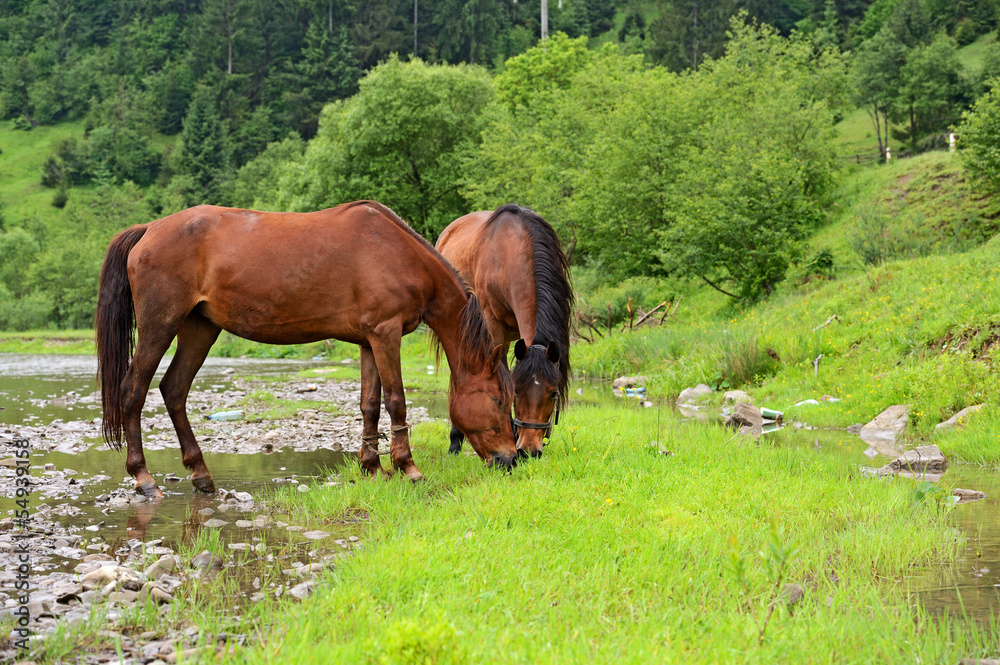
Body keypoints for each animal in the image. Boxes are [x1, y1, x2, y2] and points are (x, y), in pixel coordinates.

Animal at [95, 201, 518, 497]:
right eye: (499, 400)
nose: (511, 460)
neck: (396, 251)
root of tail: (148, 230)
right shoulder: (386, 334)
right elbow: (396, 400)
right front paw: (407, 467)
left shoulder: (368, 341)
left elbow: (369, 404)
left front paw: (372, 467)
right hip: (160, 325)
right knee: (133, 391)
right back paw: (143, 478)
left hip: (200, 328)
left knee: (174, 390)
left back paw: (201, 475)